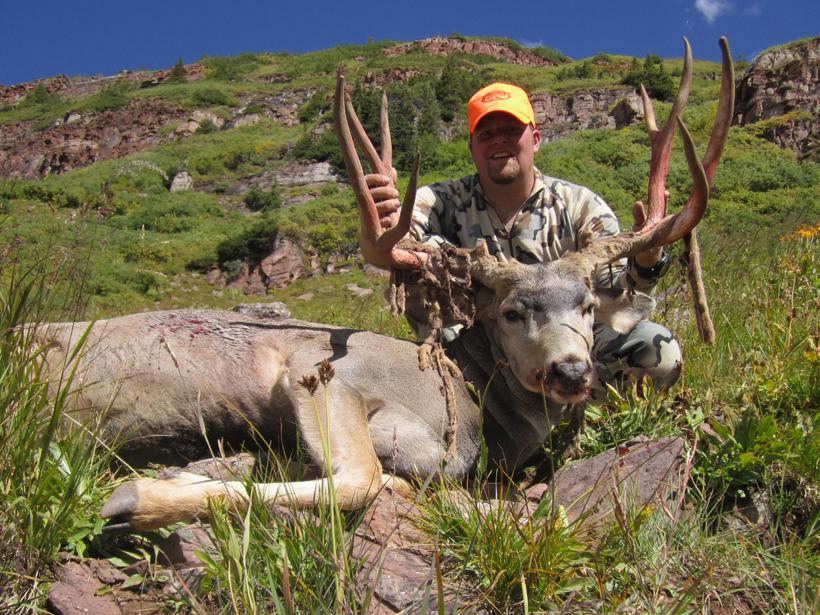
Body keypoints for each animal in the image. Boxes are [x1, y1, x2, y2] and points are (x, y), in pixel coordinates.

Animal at [31, 39, 732, 532]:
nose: (570, 371)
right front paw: (137, 494)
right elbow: (366, 478)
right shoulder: (321, 369)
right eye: (510, 312)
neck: (472, 395)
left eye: (587, 306)